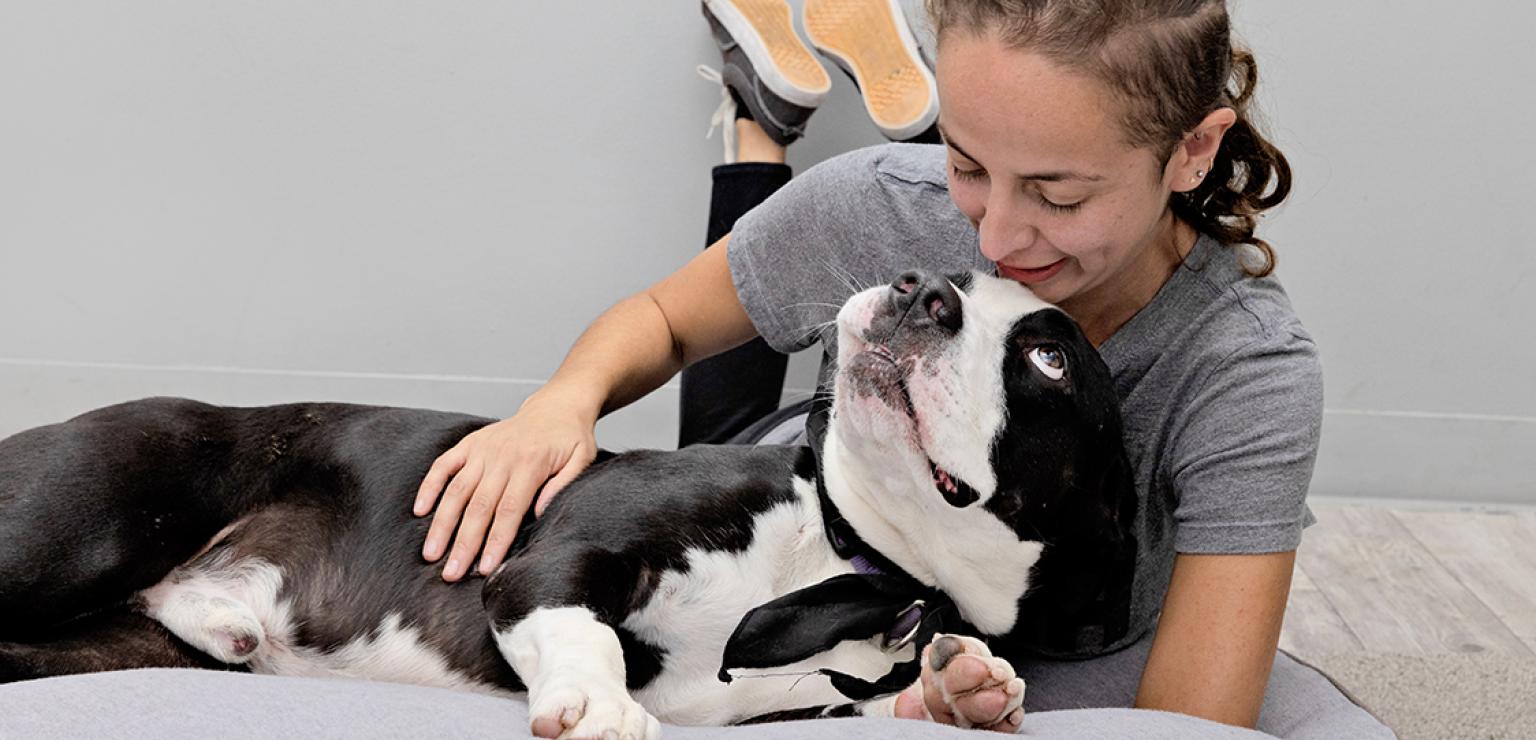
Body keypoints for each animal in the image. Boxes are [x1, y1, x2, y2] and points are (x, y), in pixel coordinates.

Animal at [3, 268, 1142, 736]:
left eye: (1048, 356)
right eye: (953, 280)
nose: (919, 289)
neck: (852, 557)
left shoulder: (771, 698)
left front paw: (962, 687)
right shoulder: (555, 559)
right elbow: (580, 622)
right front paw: (598, 701)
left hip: (98, 643)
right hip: (87, 517)